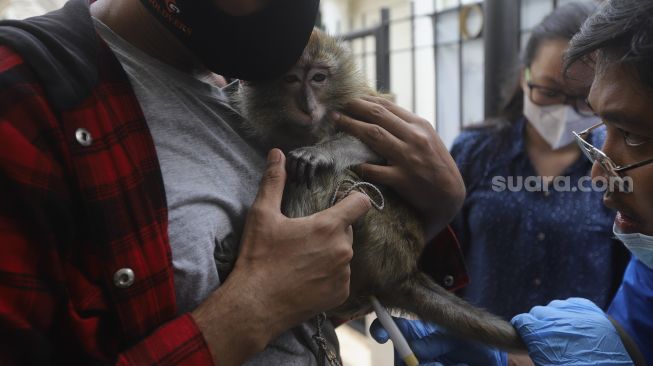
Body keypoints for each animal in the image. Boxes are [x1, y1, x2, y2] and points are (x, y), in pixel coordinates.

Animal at [227, 27, 528, 352]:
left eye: (318, 77)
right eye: (292, 79)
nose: (308, 107)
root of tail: (405, 269)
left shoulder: (362, 103)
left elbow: (377, 146)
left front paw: (321, 153)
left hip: (383, 237)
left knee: (320, 178)